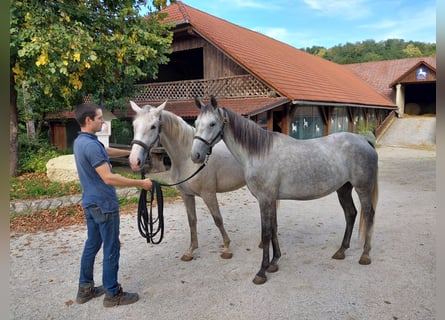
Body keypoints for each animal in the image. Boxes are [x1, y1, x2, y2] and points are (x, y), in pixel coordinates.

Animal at [127, 101, 246, 262]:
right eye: (134, 125)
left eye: (153, 126)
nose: (134, 161)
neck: (187, 158)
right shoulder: (186, 195)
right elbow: (192, 220)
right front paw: (190, 251)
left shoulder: (208, 194)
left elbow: (217, 219)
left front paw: (226, 248)